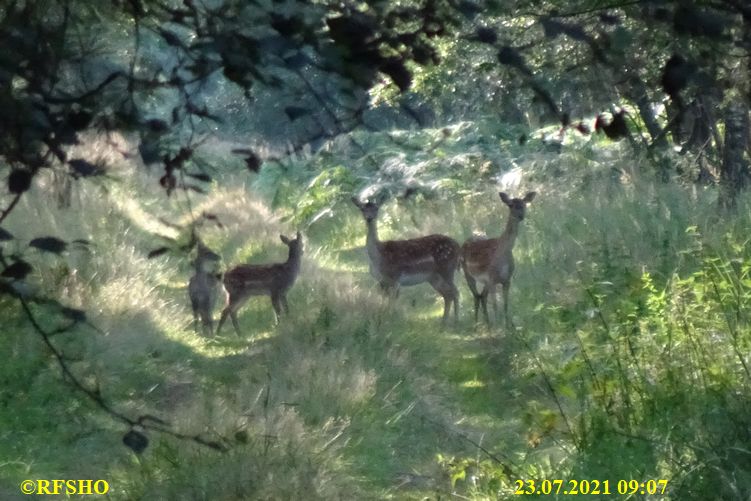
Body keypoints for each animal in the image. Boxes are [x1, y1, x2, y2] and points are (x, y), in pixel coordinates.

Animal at [352, 195, 462, 324]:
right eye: (362, 209)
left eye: (376, 208)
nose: (369, 218)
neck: (379, 257)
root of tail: (458, 247)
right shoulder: (381, 281)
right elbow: (383, 300)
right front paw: (382, 317)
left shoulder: (395, 277)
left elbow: (392, 300)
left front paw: (390, 318)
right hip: (434, 277)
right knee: (447, 295)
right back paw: (444, 321)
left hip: (447, 268)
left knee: (455, 292)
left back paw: (456, 320)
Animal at [462, 189, 536, 326]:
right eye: (511, 205)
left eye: (524, 204)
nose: (521, 216)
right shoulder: (491, 279)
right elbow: (496, 305)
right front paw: (499, 325)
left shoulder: (507, 279)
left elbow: (506, 304)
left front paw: (508, 326)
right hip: (467, 273)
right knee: (476, 296)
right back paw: (476, 324)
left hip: (485, 281)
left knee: (482, 296)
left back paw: (487, 323)